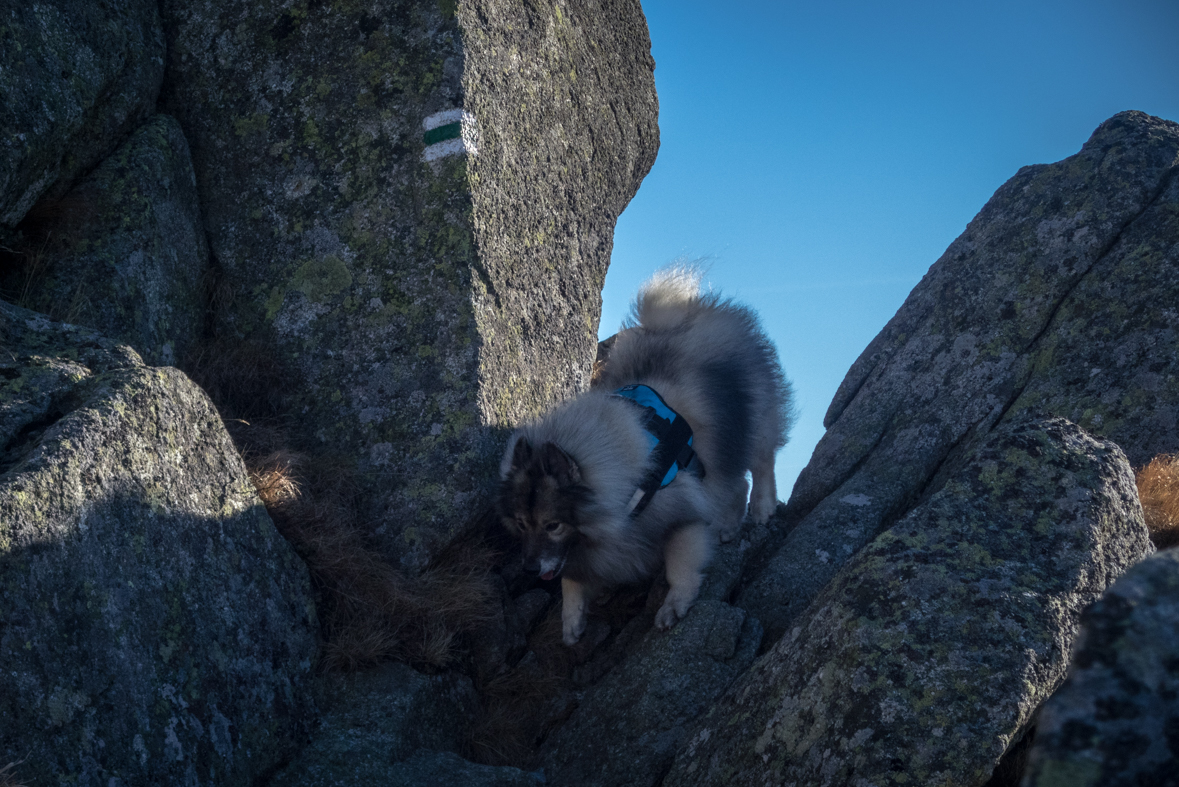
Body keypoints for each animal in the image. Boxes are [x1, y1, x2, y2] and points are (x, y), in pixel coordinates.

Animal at [497, 267, 792, 640]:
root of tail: (698, 312)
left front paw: (674, 605)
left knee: (763, 462)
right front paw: (572, 619)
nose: (530, 568)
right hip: (720, 454)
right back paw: (727, 526)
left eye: (553, 525)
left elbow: (679, 566)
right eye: (522, 523)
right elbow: (570, 578)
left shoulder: (681, 516)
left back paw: (763, 507)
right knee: (735, 483)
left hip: (753, 419)